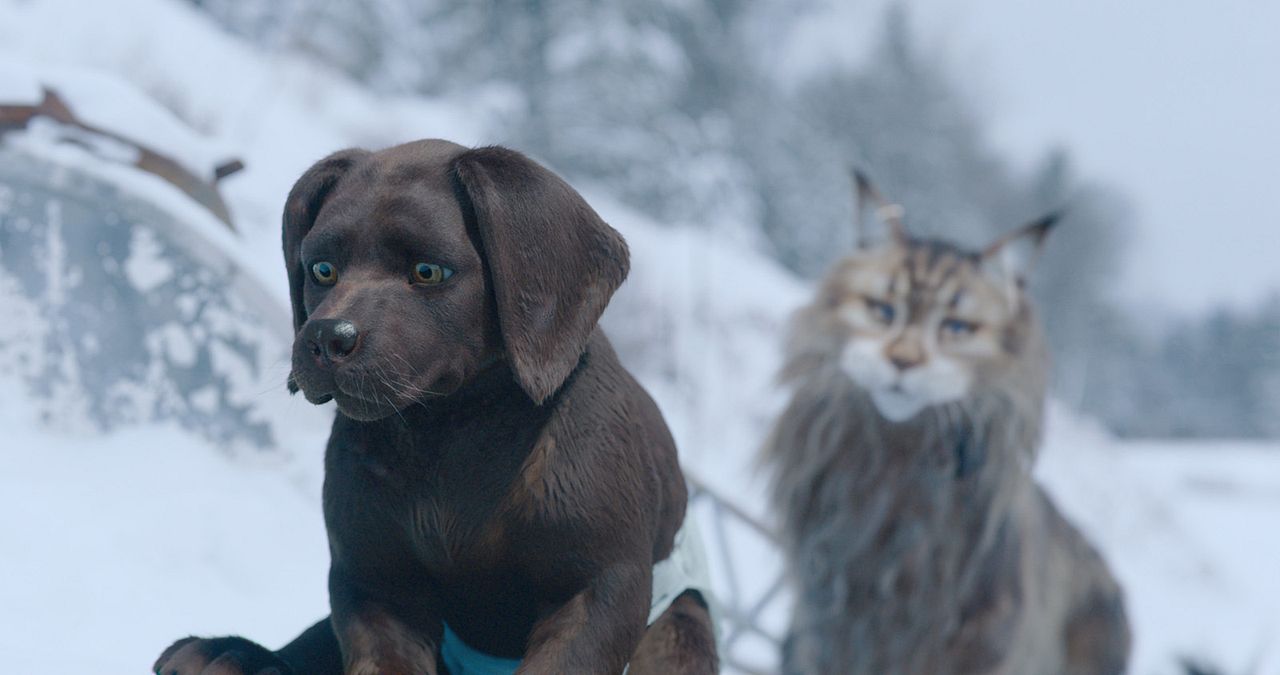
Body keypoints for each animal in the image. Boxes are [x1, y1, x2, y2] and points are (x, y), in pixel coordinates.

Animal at [153, 140, 716, 671]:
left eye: (428, 272)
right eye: (322, 270)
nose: (325, 338)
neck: (448, 430)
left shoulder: (597, 590)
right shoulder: (377, 588)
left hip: (676, 628)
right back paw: (231, 654)